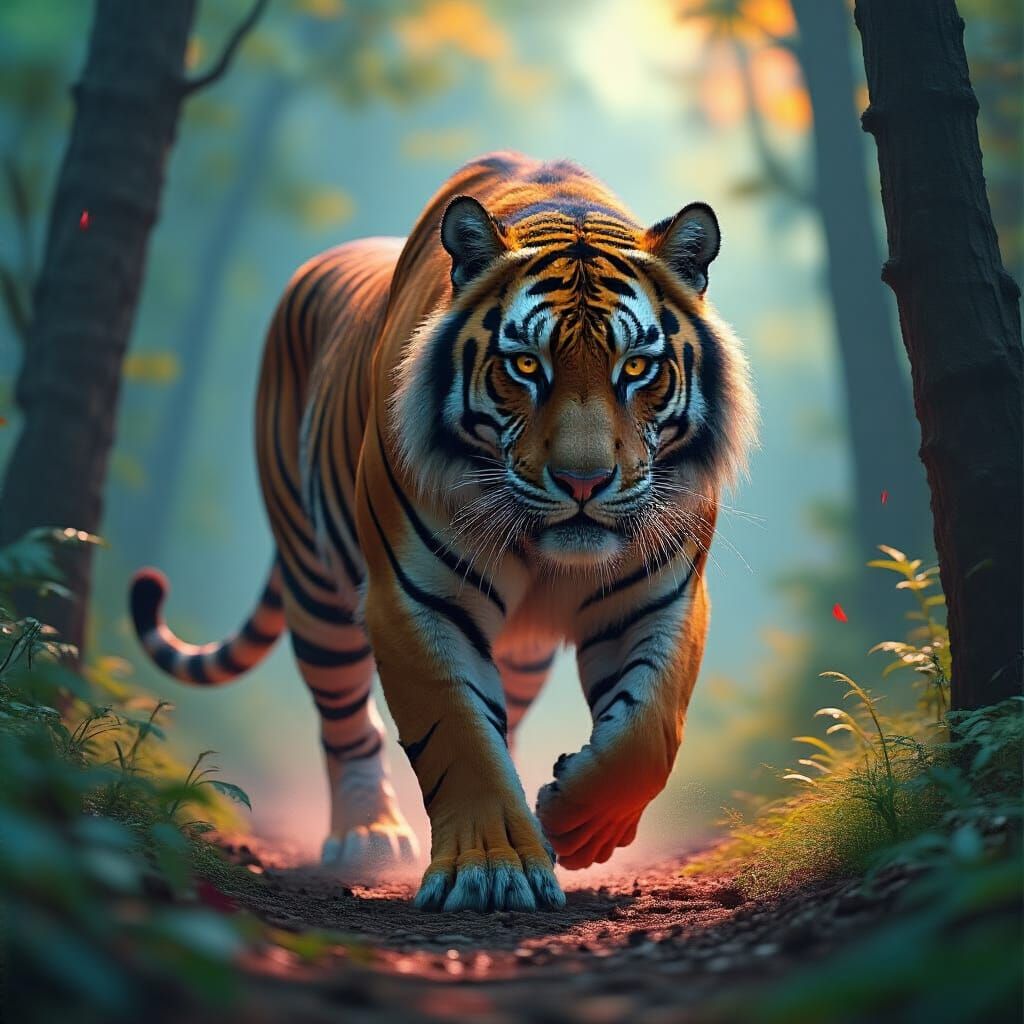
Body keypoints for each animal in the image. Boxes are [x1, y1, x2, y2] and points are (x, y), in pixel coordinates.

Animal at [130, 152, 756, 913]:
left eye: (636, 367)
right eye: (525, 365)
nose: (582, 483)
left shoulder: (661, 595)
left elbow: (647, 732)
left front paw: (573, 821)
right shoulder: (415, 596)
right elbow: (460, 735)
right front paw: (490, 869)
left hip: (521, 651)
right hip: (316, 589)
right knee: (348, 722)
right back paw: (367, 838)